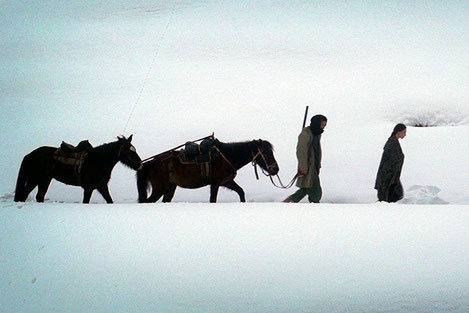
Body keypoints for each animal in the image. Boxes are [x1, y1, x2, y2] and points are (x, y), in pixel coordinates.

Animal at [15, 135, 143, 204]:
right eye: (129, 152)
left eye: (134, 149)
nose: (140, 164)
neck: (98, 160)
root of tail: (30, 155)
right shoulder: (88, 188)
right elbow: (86, 201)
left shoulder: (102, 186)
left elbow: (109, 200)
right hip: (34, 179)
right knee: (23, 194)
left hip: (45, 180)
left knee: (39, 196)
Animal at [137, 137, 280, 201]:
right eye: (266, 152)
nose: (275, 170)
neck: (227, 156)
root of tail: (150, 162)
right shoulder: (215, 183)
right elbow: (213, 200)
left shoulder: (227, 182)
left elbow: (241, 192)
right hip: (160, 188)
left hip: (170, 188)